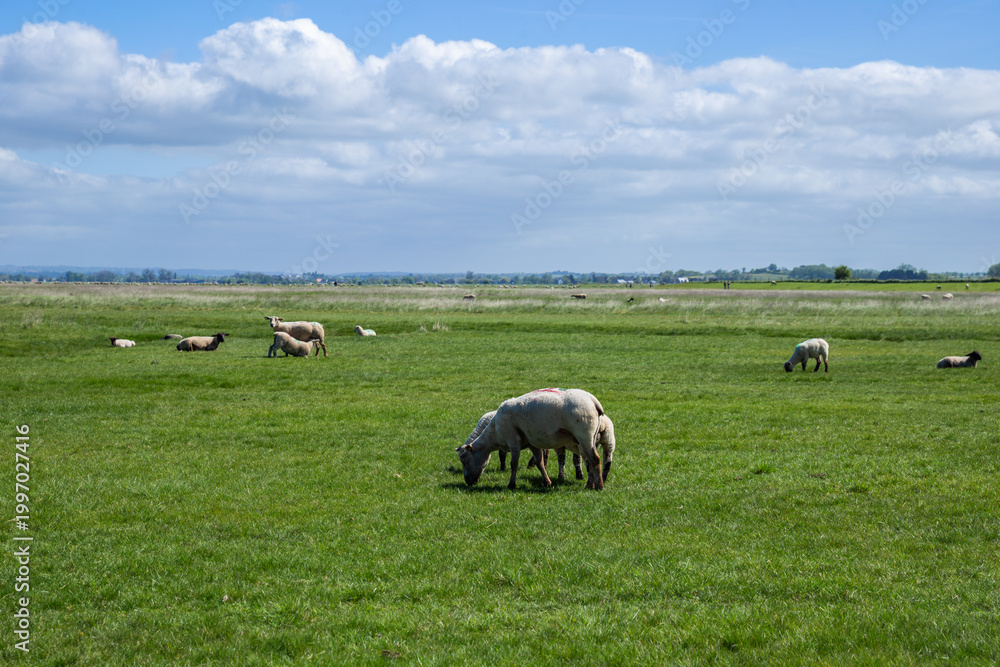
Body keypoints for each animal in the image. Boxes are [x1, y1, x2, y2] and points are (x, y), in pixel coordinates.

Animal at [456, 388, 610, 490]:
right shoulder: (531, 443)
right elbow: (540, 463)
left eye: (464, 459)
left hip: (584, 435)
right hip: (590, 438)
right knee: (589, 461)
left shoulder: (513, 441)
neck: (494, 434)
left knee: (595, 459)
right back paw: (590, 485)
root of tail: (594, 401)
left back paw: (599, 486)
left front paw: (511, 484)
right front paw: (547, 482)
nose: (468, 482)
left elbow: (514, 464)